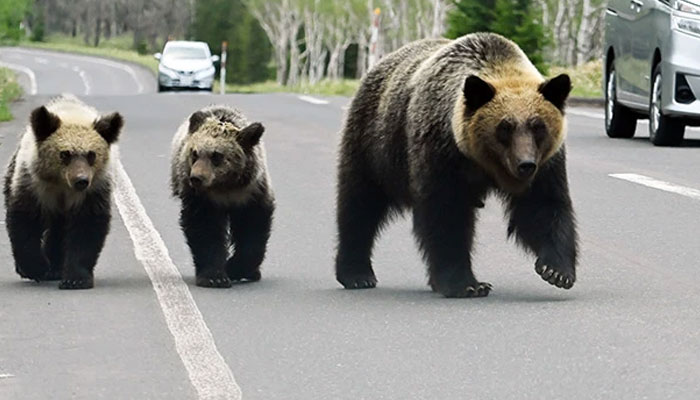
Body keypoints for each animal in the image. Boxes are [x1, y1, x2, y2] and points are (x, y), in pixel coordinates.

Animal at [3, 94, 123, 289]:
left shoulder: (93, 191)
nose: (81, 180)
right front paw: (36, 268)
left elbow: (87, 227)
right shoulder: (32, 184)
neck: (62, 184)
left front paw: (76, 278)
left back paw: (56, 267)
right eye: (65, 154)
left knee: (59, 231)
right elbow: (25, 222)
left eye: (92, 154)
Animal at [171, 105, 274, 288]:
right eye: (194, 153)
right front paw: (214, 277)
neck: (225, 186)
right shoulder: (201, 199)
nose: (196, 178)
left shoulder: (251, 192)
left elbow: (253, 227)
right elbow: (205, 229)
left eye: (217, 155)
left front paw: (236, 268)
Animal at [335, 33, 578, 298]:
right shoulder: (441, 151)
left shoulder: (547, 163)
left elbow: (542, 206)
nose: (525, 164)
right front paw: (467, 284)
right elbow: (446, 213)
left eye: (538, 126)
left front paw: (556, 271)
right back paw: (357, 274)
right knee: (360, 203)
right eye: (505, 127)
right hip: (375, 143)